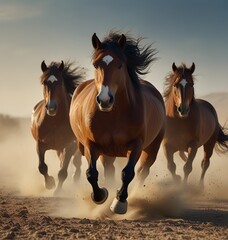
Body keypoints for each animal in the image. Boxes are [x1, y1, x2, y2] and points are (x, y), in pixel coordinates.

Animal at [30, 60, 83, 195]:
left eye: (60, 82)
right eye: (44, 82)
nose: (51, 107)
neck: (54, 122)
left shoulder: (69, 146)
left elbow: (63, 171)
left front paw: (57, 190)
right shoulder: (40, 144)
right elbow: (42, 167)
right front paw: (50, 183)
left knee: (76, 162)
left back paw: (76, 178)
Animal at [69, 31, 166, 214]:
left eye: (120, 65)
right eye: (95, 64)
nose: (105, 100)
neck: (114, 116)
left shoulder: (136, 145)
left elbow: (127, 173)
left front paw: (119, 202)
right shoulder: (91, 144)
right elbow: (91, 173)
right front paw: (100, 195)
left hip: (152, 148)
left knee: (142, 171)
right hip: (99, 150)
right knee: (108, 170)